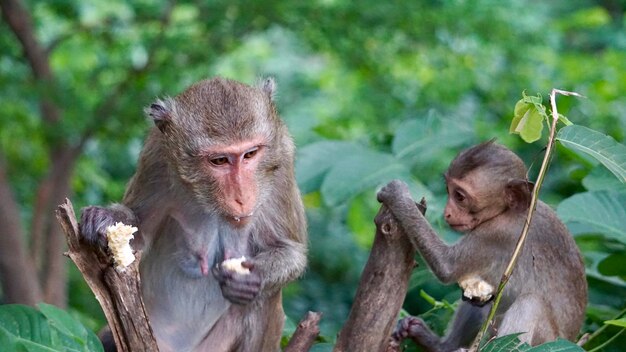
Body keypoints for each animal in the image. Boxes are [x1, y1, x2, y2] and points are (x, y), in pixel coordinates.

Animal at [376, 140, 584, 352]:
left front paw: (398, 195)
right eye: (448, 190)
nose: (447, 212)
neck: (508, 210)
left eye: (459, 196)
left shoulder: (496, 233)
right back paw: (442, 346)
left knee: (530, 303)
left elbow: (447, 266)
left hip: (546, 340)